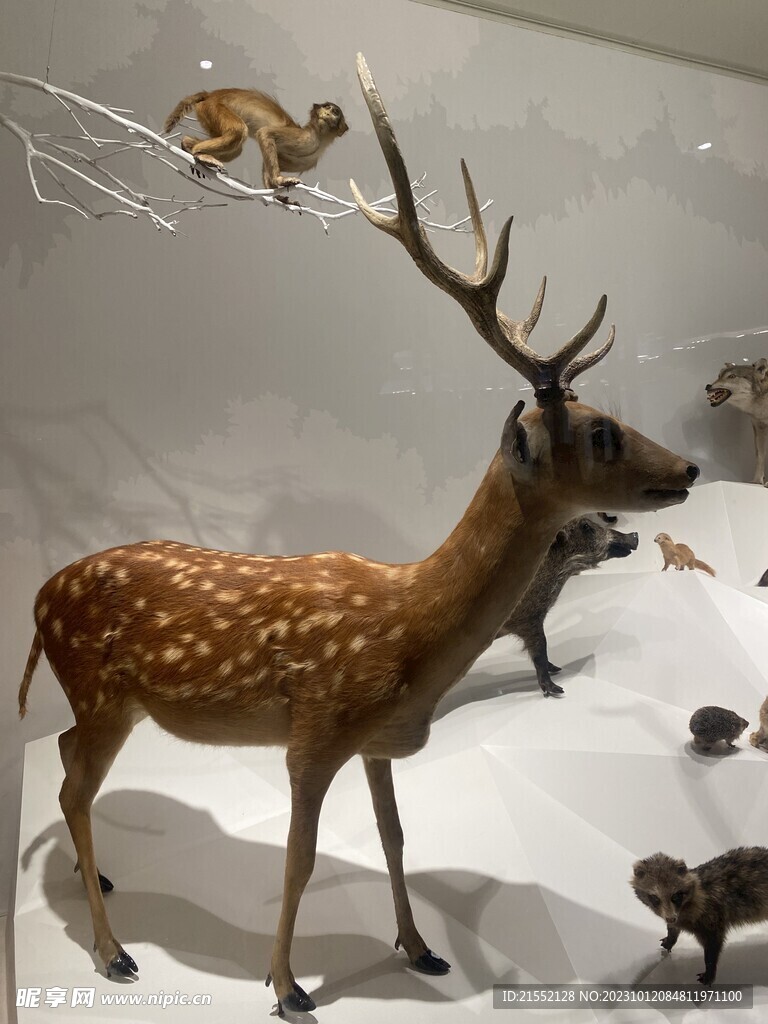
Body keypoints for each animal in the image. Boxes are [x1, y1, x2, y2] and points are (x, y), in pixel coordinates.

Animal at [17, 53, 699, 1017]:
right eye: (600, 431)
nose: (689, 469)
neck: (405, 629)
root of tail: (40, 599)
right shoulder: (316, 727)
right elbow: (302, 859)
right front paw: (287, 984)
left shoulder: (377, 739)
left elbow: (395, 832)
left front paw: (419, 947)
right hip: (102, 689)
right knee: (76, 779)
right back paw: (114, 952)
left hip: (107, 700)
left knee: (66, 760)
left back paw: (102, 882)